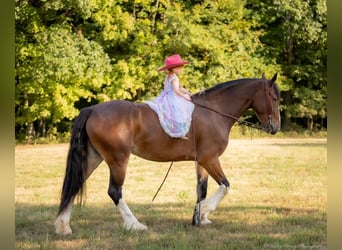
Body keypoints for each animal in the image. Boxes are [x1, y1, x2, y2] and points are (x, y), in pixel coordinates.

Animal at [54, 73, 280, 233]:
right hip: (118, 160)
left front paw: (199, 217)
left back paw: (63, 226)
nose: (275, 127)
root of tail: (92, 109)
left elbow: (202, 190)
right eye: (273, 97)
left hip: (94, 157)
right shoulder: (210, 159)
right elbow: (225, 186)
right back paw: (135, 224)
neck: (214, 111)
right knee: (114, 191)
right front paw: (203, 212)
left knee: (74, 186)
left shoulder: (202, 162)